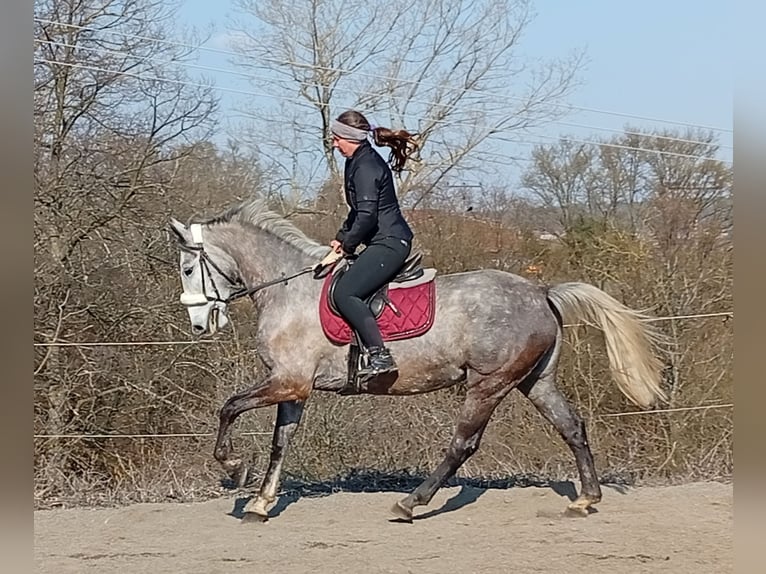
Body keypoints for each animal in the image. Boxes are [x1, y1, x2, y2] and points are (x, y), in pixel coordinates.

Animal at [168, 196, 666, 522]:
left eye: (189, 268)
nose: (199, 325)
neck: (288, 287)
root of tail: (542, 292)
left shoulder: (287, 381)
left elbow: (229, 407)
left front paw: (235, 468)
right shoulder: (293, 387)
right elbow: (279, 442)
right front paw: (259, 502)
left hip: (488, 383)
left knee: (463, 444)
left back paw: (411, 503)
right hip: (534, 381)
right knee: (572, 427)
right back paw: (586, 499)